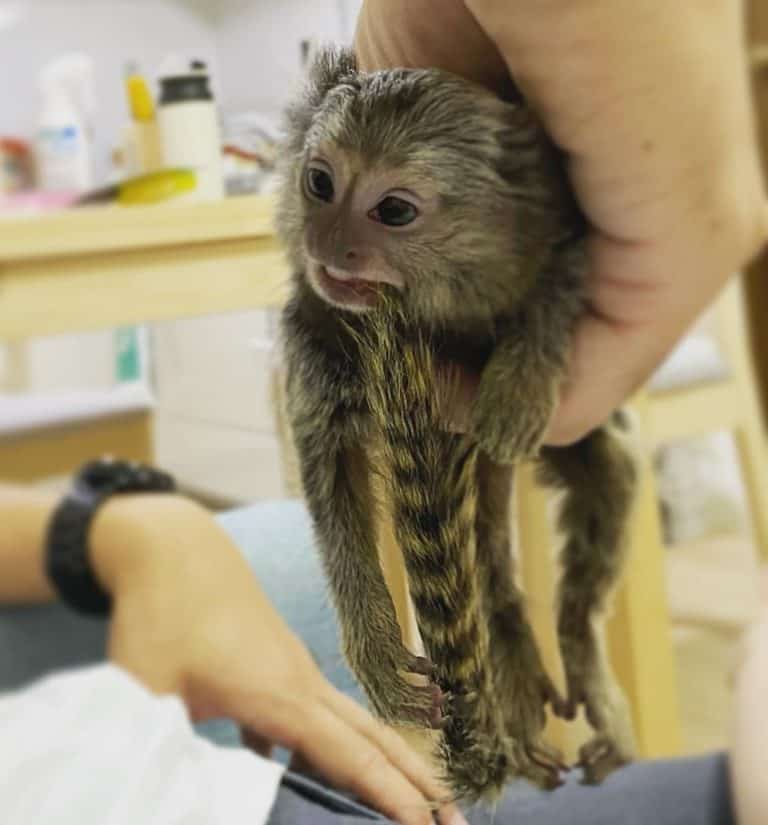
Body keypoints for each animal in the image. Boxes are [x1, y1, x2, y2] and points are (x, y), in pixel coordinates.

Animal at [275, 47, 638, 801]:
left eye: (392, 209)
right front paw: (378, 652)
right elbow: (333, 480)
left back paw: (580, 660)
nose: (329, 243)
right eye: (320, 182)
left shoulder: (554, 229)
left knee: (609, 473)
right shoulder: (314, 342)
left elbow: (567, 271)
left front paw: (521, 376)